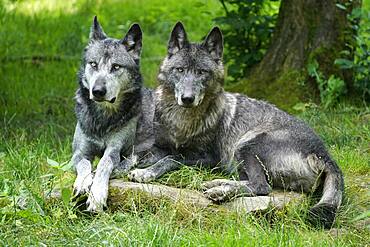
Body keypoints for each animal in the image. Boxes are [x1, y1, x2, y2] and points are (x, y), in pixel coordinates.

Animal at [71, 16, 154, 211]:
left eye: (116, 67)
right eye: (93, 64)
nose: (97, 91)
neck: (103, 118)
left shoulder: (114, 149)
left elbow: (104, 163)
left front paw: (97, 195)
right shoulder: (78, 153)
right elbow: (84, 164)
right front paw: (83, 183)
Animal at [129, 21, 346, 228]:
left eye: (201, 72)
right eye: (180, 70)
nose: (187, 98)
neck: (182, 119)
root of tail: (324, 154)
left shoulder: (208, 158)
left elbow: (170, 159)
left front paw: (145, 173)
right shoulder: (162, 146)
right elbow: (141, 154)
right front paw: (135, 165)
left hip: (245, 145)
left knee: (261, 187)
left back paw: (220, 192)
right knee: (248, 181)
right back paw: (216, 184)